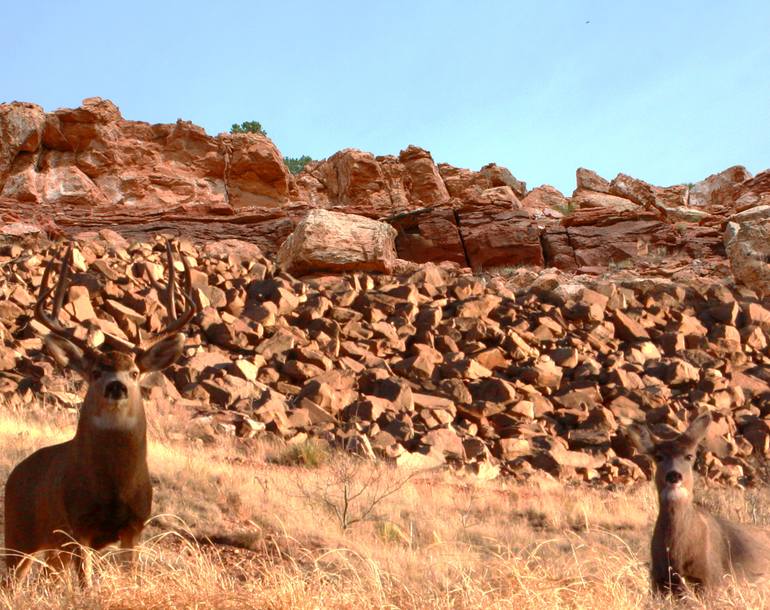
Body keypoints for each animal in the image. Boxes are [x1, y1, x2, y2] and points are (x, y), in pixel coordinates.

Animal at [4, 240, 195, 580]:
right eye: (95, 372)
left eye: (134, 372)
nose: (116, 386)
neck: (113, 488)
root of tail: (16, 472)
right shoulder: (79, 524)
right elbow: (86, 583)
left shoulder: (135, 526)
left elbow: (130, 576)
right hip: (18, 535)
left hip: (54, 547)